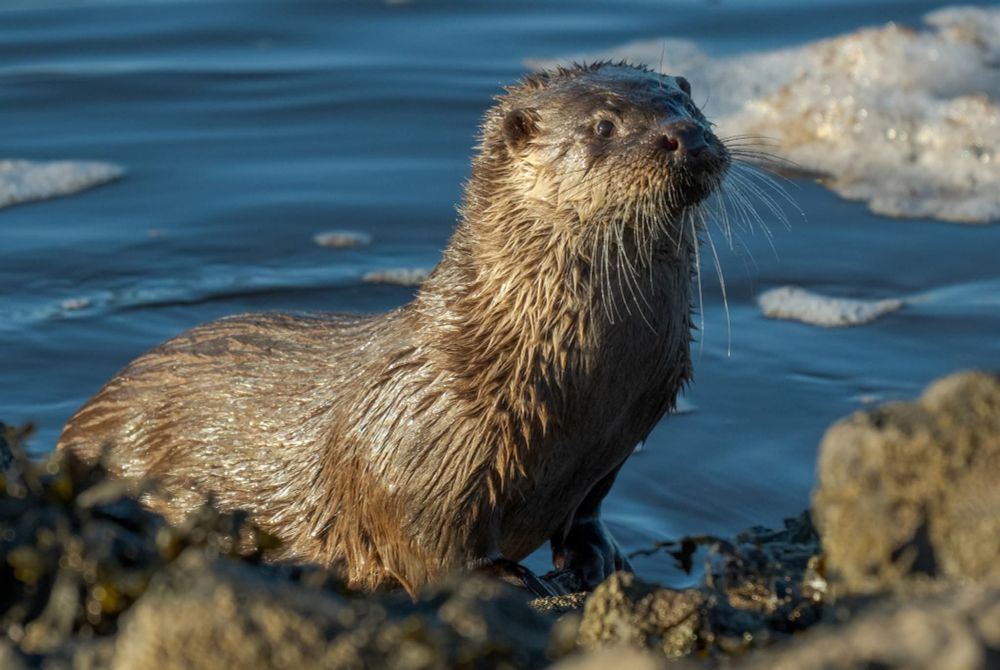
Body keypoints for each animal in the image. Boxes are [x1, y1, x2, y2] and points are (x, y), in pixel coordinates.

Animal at [59, 62, 730, 595]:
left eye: (689, 103)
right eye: (603, 127)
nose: (686, 136)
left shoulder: (613, 444)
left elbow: (588, 511)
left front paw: (602, 560)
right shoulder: (421, 444)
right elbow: (429, 543)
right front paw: (503, 577)